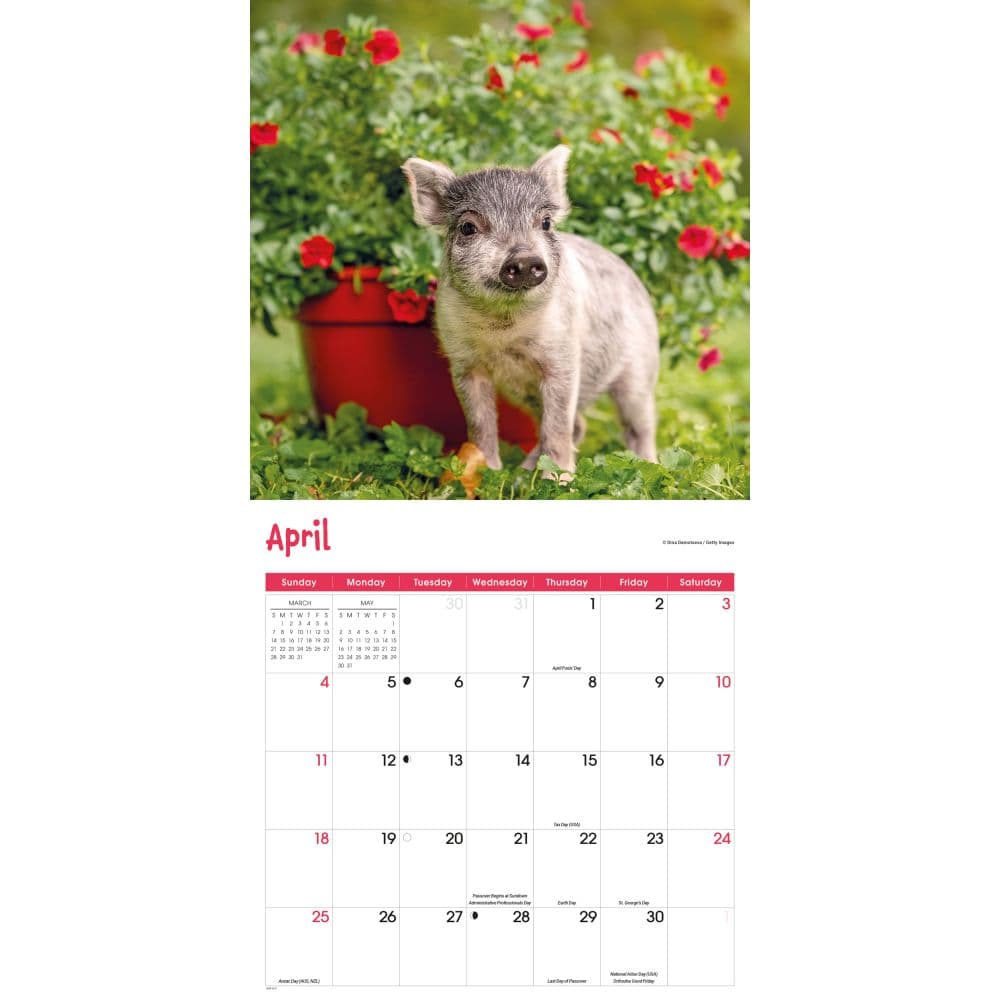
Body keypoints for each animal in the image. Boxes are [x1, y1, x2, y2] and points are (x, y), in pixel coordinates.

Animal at [401, 146, 660, 474]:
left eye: (546, 222)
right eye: (468, 227)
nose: (524, 258)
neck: (504, 329)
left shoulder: (563, 357)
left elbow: (557, 424)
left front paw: (559, 479)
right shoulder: (464, 363)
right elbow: (479, 422)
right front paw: (486, 471)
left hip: (641, 369)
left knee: (638, 425)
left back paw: (648, 464)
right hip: (524, 393)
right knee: (579, 425)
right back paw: (524, 470)